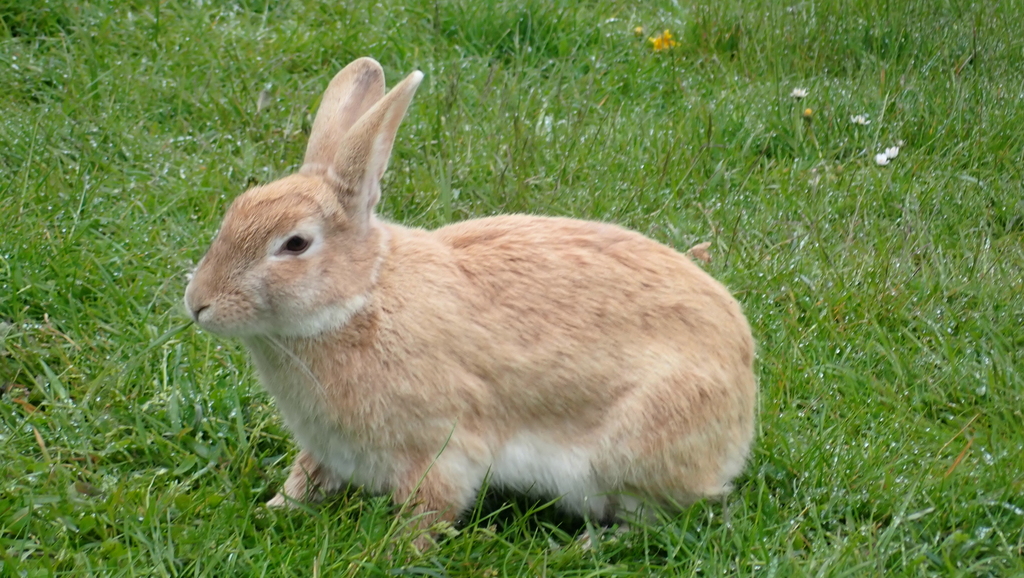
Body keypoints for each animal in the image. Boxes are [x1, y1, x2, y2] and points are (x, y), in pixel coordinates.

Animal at [186, 56, 761, 545]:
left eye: (295, 245)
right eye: (236, 209)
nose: (197, 304)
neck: (363, 296)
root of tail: (742, 400)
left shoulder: (440, 449)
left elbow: (430, 507)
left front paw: (396, 550)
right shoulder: (327, 448)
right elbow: (305, 477)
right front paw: (275, 509)